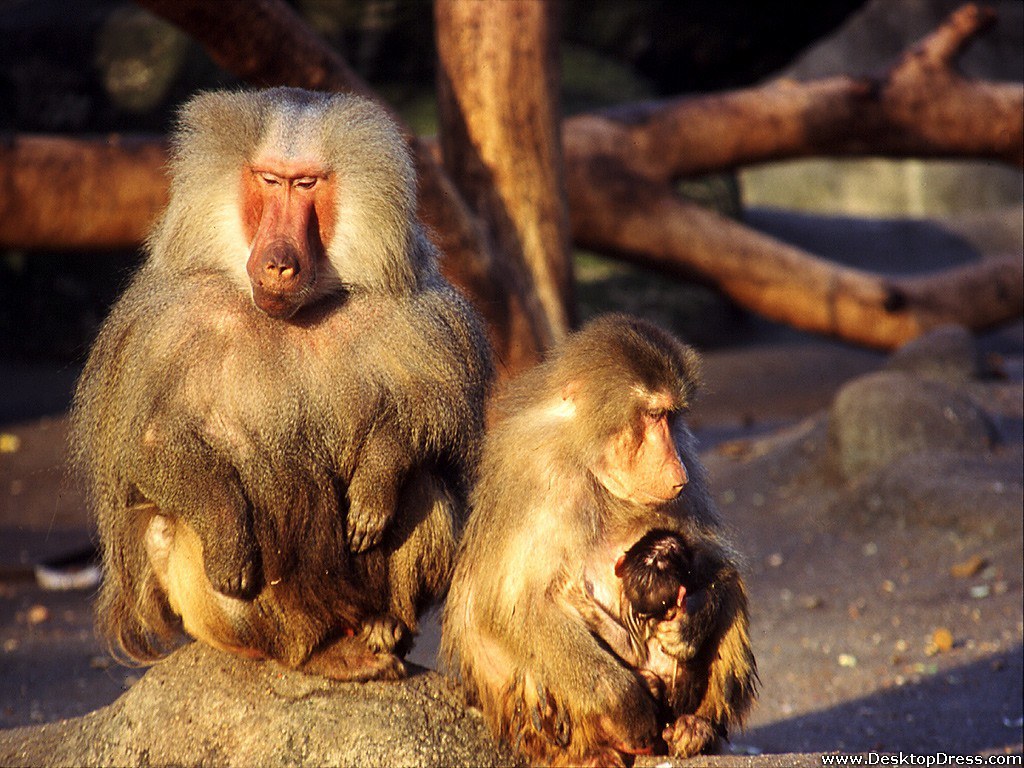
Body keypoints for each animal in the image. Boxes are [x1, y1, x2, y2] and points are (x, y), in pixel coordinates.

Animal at [71, 87, 493, 681]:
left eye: (307, 184)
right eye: (270, 180)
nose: (278, 264)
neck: (291, 314)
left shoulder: (420, 312)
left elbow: (439, 411)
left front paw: (374, 484)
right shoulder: (161, 326)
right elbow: (142, 448)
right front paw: (226, 533)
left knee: (425, 484)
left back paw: (384, 629)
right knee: (173, 534)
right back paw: (314, 653)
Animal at [441, 314, 756, 765]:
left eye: (672, 417)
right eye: (653, 415)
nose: (676, 468)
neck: (588, 457)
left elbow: (714, 560)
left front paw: (689, 623)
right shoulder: (538, 472)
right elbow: (511, 607)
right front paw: (626, 704)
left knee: (730, 590)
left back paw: (698, 728)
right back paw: (591, 753)